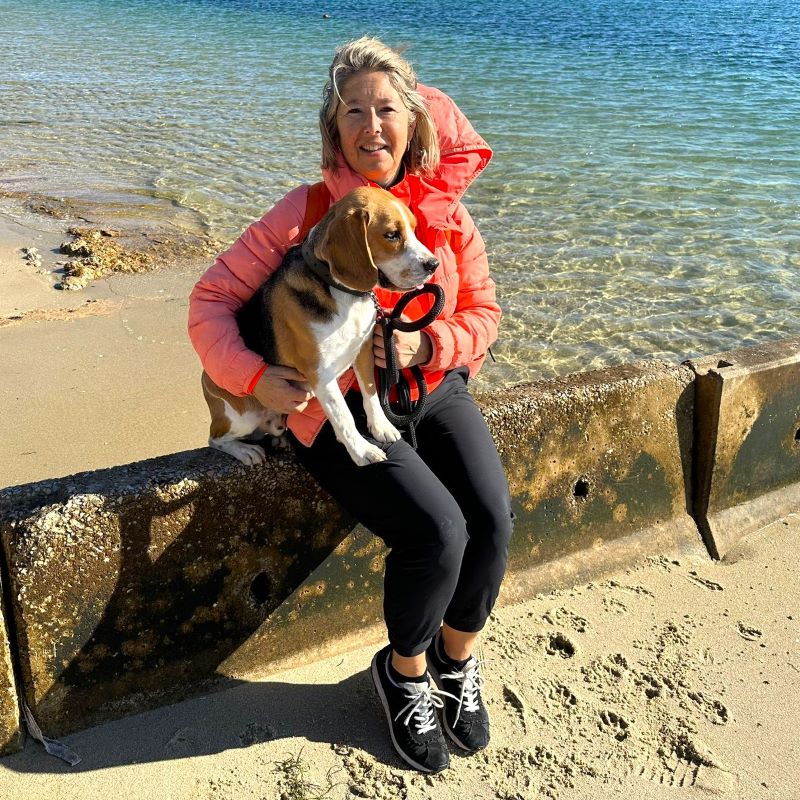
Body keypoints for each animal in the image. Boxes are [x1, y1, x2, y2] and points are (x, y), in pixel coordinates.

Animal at [202, 186, 439, 467]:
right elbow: (344, 416)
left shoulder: (363, 350)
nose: (433, 264)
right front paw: (362, 451)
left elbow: (370, 393)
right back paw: (245, 450)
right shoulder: (320, 373)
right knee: (215, 439)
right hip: (243, 415)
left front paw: (381, 427)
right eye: (392, 235)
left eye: (413, 229)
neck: (342, 292)